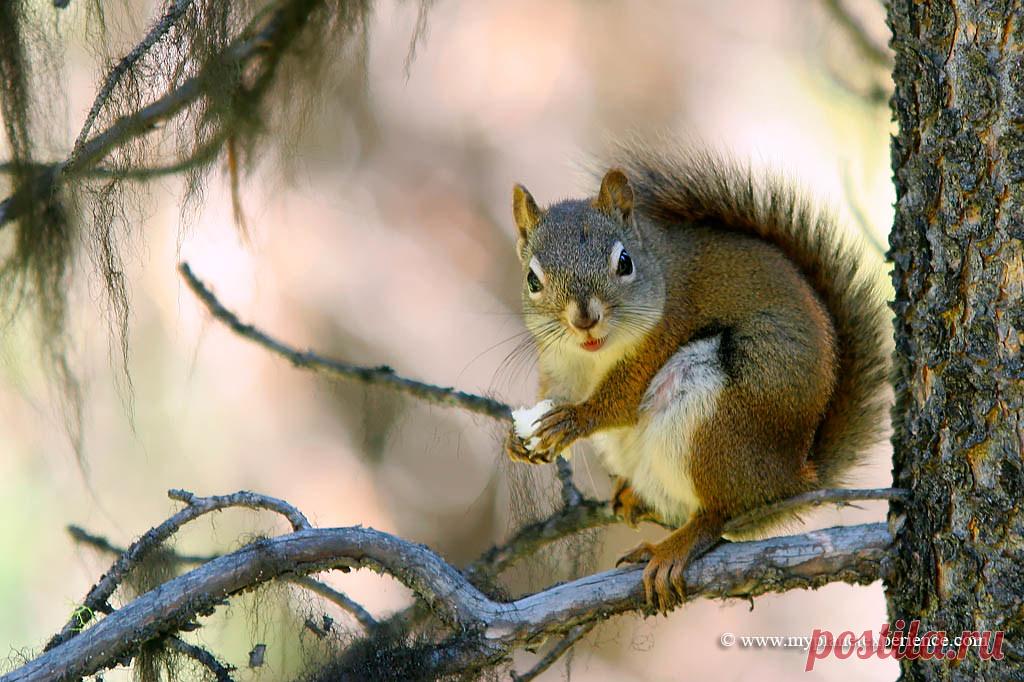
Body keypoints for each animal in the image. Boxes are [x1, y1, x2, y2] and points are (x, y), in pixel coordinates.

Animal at [504, 142, 889, 613]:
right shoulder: (561, 362)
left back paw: (676, 546)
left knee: (719, 514)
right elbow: (554, 392)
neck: (595, 357)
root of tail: (790, 478)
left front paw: (576, 420)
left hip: (714, 424)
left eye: (624, 263)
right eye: (532, 279)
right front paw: (517, 440)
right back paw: (634, 497)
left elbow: (622, 400)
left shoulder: (667, 330)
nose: (584, 319)